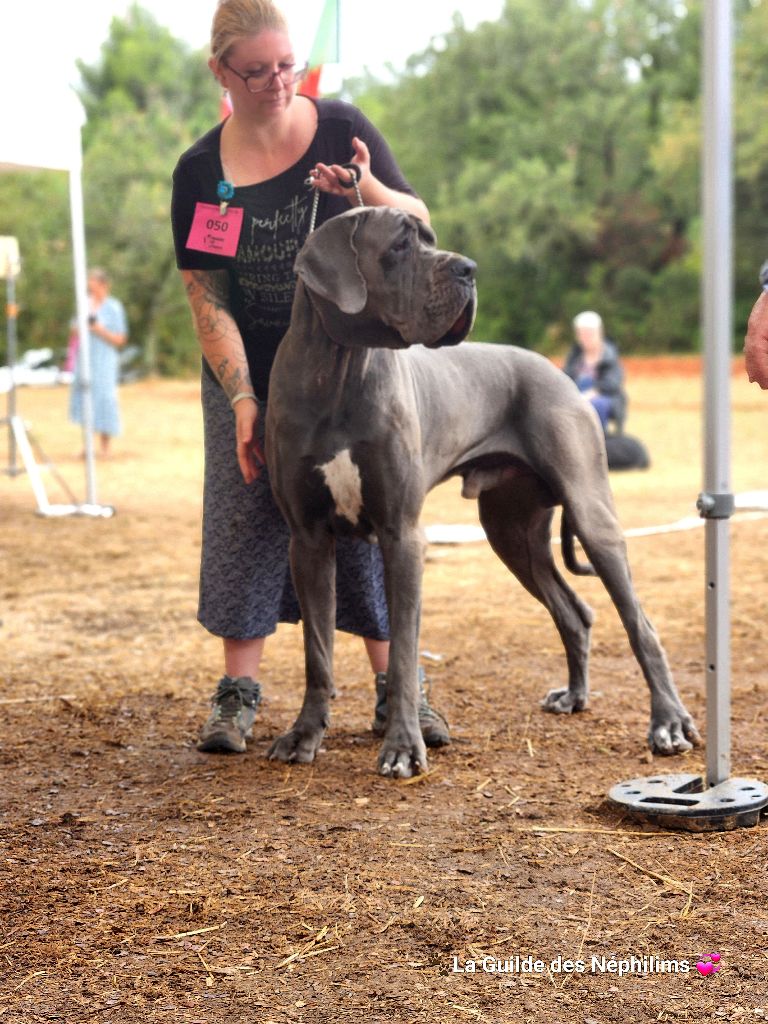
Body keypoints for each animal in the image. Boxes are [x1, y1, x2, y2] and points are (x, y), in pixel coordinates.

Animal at [266, 203, 704, 774]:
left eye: (430, 238)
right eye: (400, 245)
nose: (468, 269)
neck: (337, 371)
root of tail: (561, 376)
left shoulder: (401, 534)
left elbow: (402, 654)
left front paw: (403, 747)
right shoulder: (308, 540)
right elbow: (317, 651)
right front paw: (304, 735)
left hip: (591, 515)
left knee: (641, 625)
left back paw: (669, 724)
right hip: (512, 532)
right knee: (574, 612)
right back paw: (575, 695)